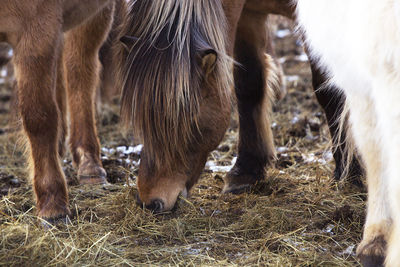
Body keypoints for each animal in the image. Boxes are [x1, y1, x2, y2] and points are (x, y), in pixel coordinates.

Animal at [119, 0, 362, 214]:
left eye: (187, 121)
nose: (150, 201)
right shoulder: (247, 16)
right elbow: (248, 85)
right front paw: (246, 170)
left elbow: (329, 90)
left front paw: (349, 174)